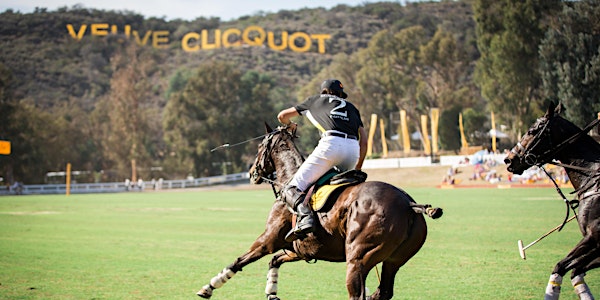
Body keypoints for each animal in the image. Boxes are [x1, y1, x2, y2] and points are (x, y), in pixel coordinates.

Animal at [197, 124, 440, 300]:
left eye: (259, 147)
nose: (251, 173)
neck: (289, 180)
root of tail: (409, 204)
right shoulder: (299, 249)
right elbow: (275, 261)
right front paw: (272, 293)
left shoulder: (268, 239)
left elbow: (240, 261)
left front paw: (208, 287)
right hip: (395, 260)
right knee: (383, 291)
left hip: (359, 258)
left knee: (358, 295)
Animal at [506, 102, 600, 298]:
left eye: (532, 130)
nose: (508, 160)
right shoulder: (595, 243)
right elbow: (572, 270)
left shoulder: (594, 237)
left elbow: (560, 267)